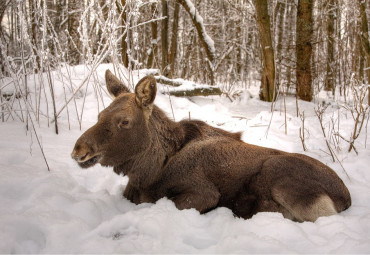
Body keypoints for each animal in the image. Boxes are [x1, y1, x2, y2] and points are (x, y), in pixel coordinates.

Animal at [71, 70, 352, 222]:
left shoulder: (204, 193)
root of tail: (345, 198)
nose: (78, 150)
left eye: (125, 121)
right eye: (99, 115)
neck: (149, 171)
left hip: (285, 177)